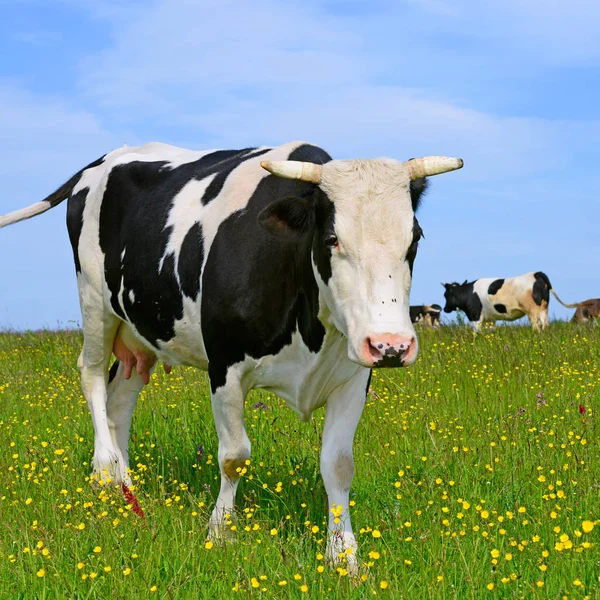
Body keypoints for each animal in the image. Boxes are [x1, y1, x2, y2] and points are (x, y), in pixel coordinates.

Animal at [0, 141, 464, 568]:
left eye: (414, 238)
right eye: (332, 238)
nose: (391, 345)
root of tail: (104, 159)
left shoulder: (353, 375)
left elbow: (338, 465)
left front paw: (344, 556)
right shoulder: (224, 365)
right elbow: (234, 457)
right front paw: (220, 532)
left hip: (141, 330)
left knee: (120, 397)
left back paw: (126, 481)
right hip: (95, 301)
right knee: (92, 375)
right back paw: (105, 470)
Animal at [440, 270, 572, 330]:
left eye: (446, 295)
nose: (445, 308)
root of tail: (537, 273)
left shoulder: (475, 315)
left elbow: (476, 332)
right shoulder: (490, 319)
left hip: (533, 311)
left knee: (536, 326)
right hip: (544, 308)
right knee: (545, 325)